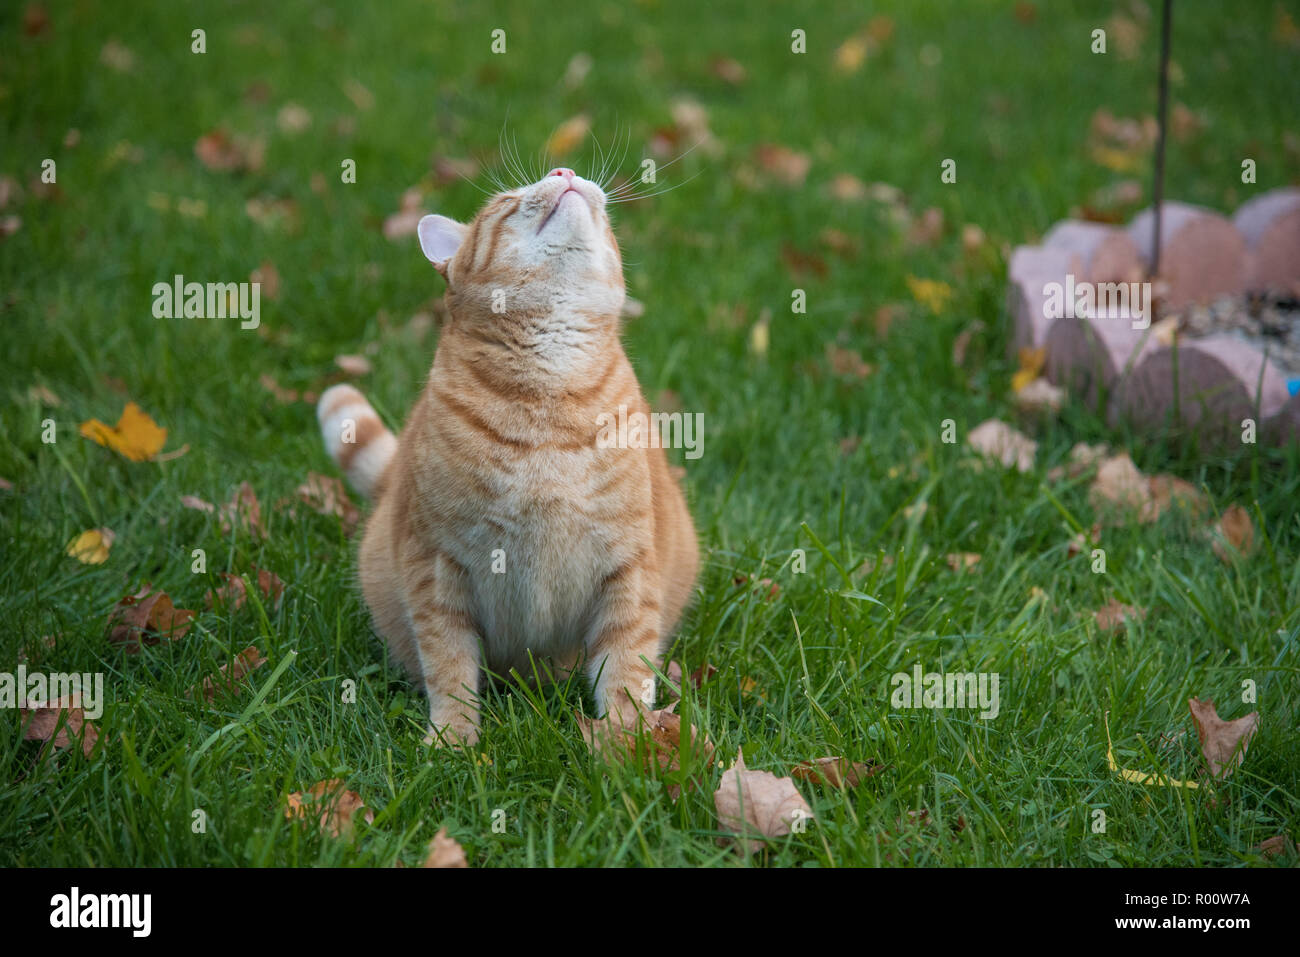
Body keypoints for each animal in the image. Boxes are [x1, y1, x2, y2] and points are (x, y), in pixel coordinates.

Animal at [318, 167, 696, 743]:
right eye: (509, 201)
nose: (564, 172)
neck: (549, 401)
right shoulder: (435, 569)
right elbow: (449, 666)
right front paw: (453, 741)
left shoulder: (631, 570)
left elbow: (627, 670)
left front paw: (624, 744)